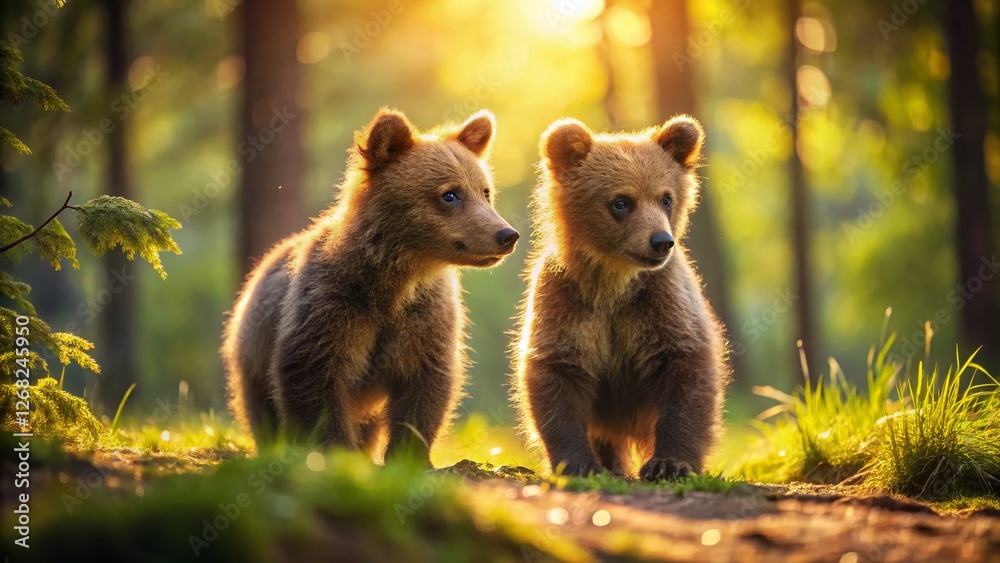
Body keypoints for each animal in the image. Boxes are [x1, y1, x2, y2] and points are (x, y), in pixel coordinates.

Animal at [222, 108, 520, 465]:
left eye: (485, 191)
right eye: (450, 194)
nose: (506, 235)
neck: (395, 280)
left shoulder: (423, 317)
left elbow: (426, 385)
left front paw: (409, 456)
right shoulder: (333, 304)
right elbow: (314, 375)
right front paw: (335, 450)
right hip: (253, 351)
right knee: (263, 410)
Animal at [511, 115, 728, 480]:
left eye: (665, 197)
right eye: (621, 202)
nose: (661, 241)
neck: (613, 282)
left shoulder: (662, 303)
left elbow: (686, 367)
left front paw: (669, 463)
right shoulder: (566, 302)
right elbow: (556, 374)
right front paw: (578, 463)